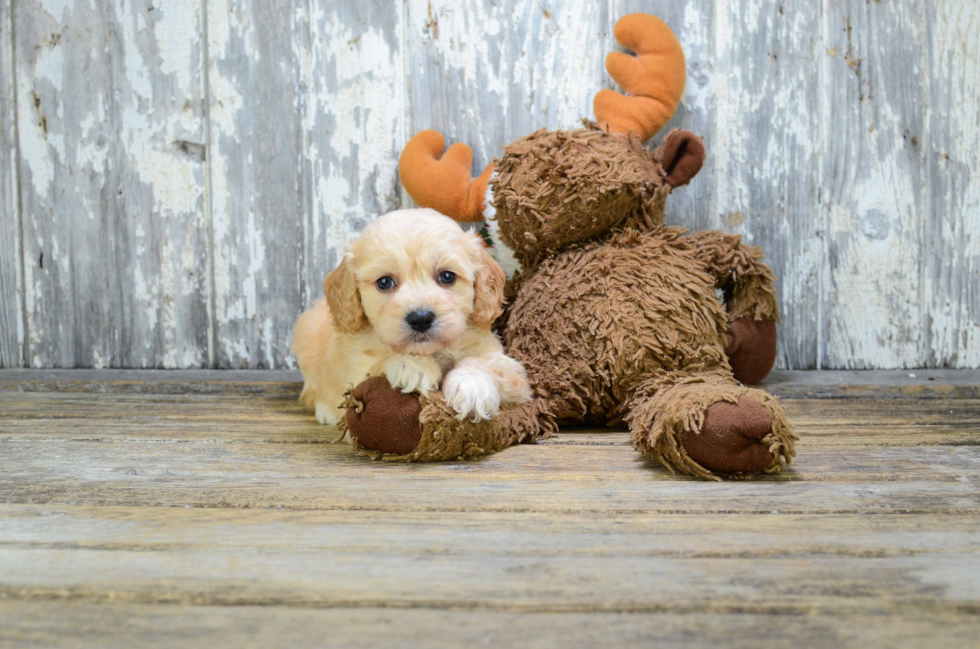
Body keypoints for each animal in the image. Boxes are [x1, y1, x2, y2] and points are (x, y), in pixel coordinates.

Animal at [290, 208, 532, 432]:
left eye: (447, 276)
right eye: (384, 282)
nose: (421, 319)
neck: (431, 351)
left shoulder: (511, 371)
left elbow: (486, 362)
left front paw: (472, 385)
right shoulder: (353, 364)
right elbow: (377, 361)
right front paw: (412, 365)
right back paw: (325, 410)